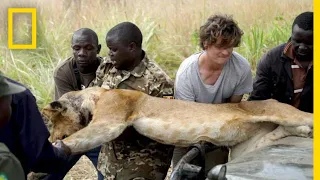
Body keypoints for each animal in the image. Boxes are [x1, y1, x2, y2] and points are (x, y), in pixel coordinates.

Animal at [42, 86, 312, 157]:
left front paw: (53, 149)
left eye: (54, 122)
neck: (97, 94)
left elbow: (78, 139)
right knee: (286, 131)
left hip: (278, 110)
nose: (51, 135)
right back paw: (306, 133)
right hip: (253, 144)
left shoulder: (111, 122)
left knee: (307, 118)